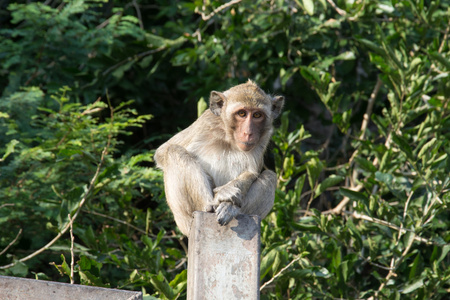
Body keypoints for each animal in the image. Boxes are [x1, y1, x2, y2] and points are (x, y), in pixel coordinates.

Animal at [153, 80, 284, 237]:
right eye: (242, 113)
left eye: (257, 115)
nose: (248, 133)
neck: (228, 138)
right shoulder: (205, 122)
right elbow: (162, 151)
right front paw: (219, 192)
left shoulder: (264, 138)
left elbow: (251, 172)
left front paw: (227, 202)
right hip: (184, 220)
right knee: (174, 151)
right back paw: (210, 205)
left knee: (270, 176)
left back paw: (231, 208)